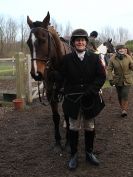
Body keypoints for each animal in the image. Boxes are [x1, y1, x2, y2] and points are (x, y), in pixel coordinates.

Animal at [26, 11, 71, 152]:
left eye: (43, 40)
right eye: (28, 43)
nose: (36, 73)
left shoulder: (67, 93)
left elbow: (67, 114)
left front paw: (68, 142)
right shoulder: (51, 92)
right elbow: (56, 117)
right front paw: (57, 141)